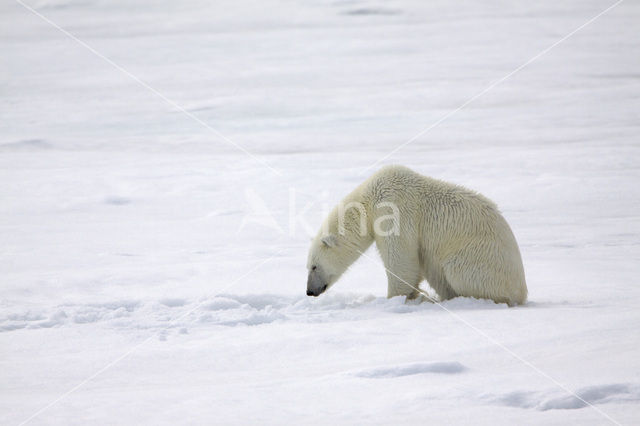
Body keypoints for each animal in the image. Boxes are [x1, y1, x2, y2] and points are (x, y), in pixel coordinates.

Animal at [308, 164, 528, 306]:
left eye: (314, 266)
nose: (309, 291)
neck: (367, 200)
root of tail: (522, 290)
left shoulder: (392, 208)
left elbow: (401, 259)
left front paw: (394, 298)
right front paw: (413, 294)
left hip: (482, 260)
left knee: (457, 270)